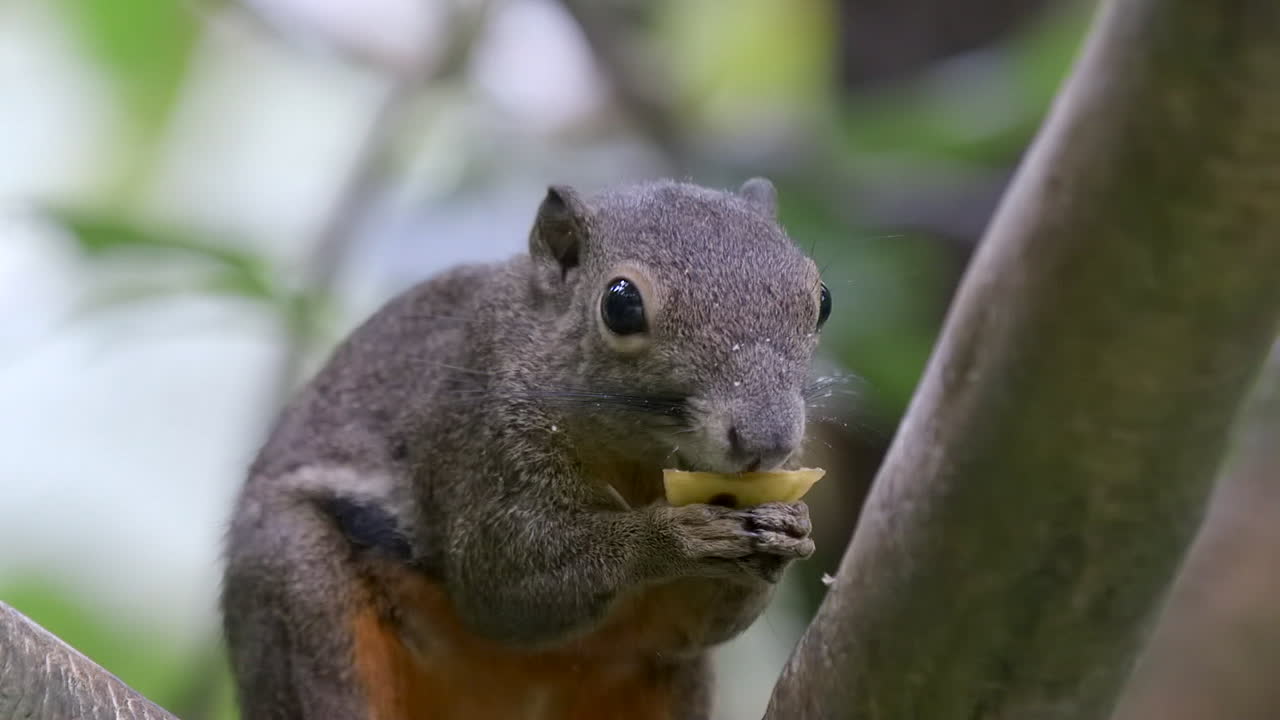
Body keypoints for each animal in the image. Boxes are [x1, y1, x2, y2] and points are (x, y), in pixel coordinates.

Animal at [221, 177, 833, 720]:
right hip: (299, 590)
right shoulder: (481, 442)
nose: (766, 441)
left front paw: (791, 526)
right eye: (621, 305)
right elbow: (504, 586)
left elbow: (699, 625)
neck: (639, 452)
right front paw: (671, 534)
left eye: (822, 299)